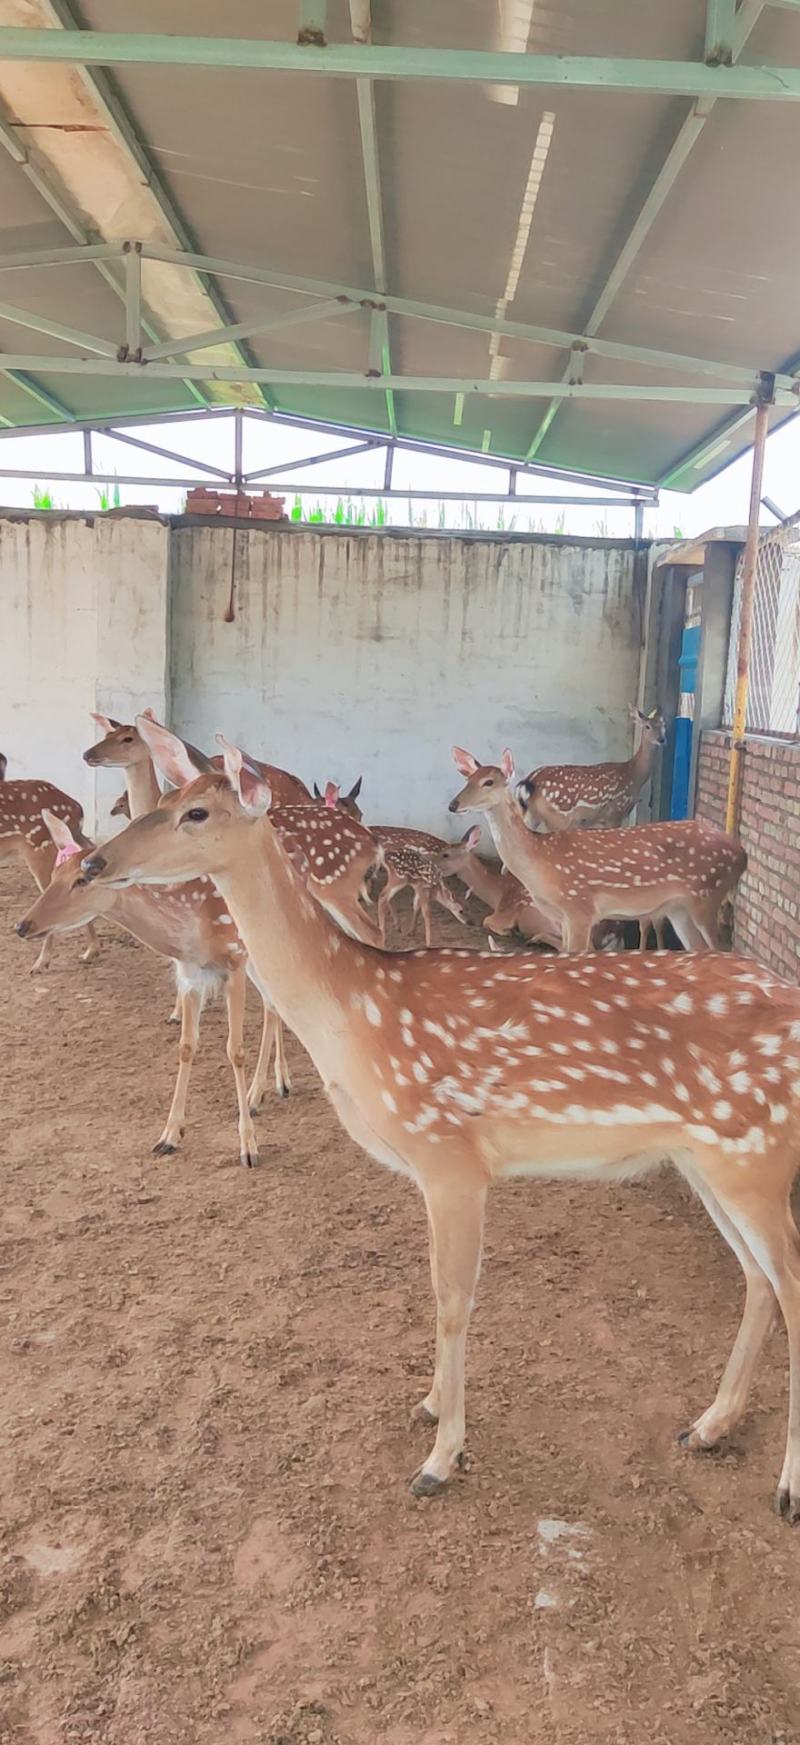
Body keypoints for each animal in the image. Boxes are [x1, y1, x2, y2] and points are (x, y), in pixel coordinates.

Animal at [449, 749, 745, 956]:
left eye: (488, 782)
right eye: (467, 779)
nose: (453, 804)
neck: (540, 862)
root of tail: (741, 854)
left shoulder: (580, 907)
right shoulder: (563, 916)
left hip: (707, 896)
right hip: (678, 908)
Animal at [516, 705, 667, 832]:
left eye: (664, 726)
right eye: (647, 726)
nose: (661, 739)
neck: (634, 775)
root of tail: (530, 780)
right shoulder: (615, 812)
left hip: (531, 814)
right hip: (558, 817)